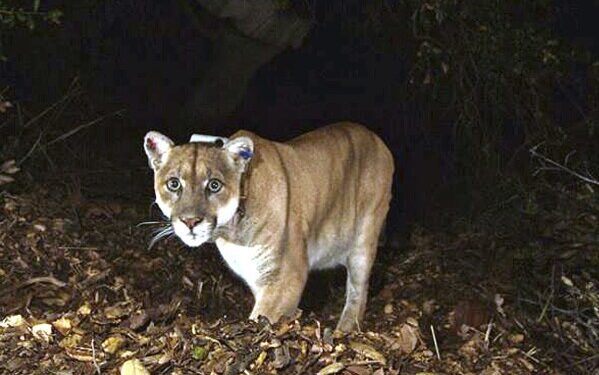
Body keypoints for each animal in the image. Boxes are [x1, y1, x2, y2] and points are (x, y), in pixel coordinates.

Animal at [144, 123, 394, 332]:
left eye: (214, 185)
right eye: (174, 184)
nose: (190, 221)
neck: (232, 233)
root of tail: (376, 138)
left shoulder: (286, 276)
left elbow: (262, 317)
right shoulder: (258, 276)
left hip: (364, 237)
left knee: (358, 291)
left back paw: (344, 329)